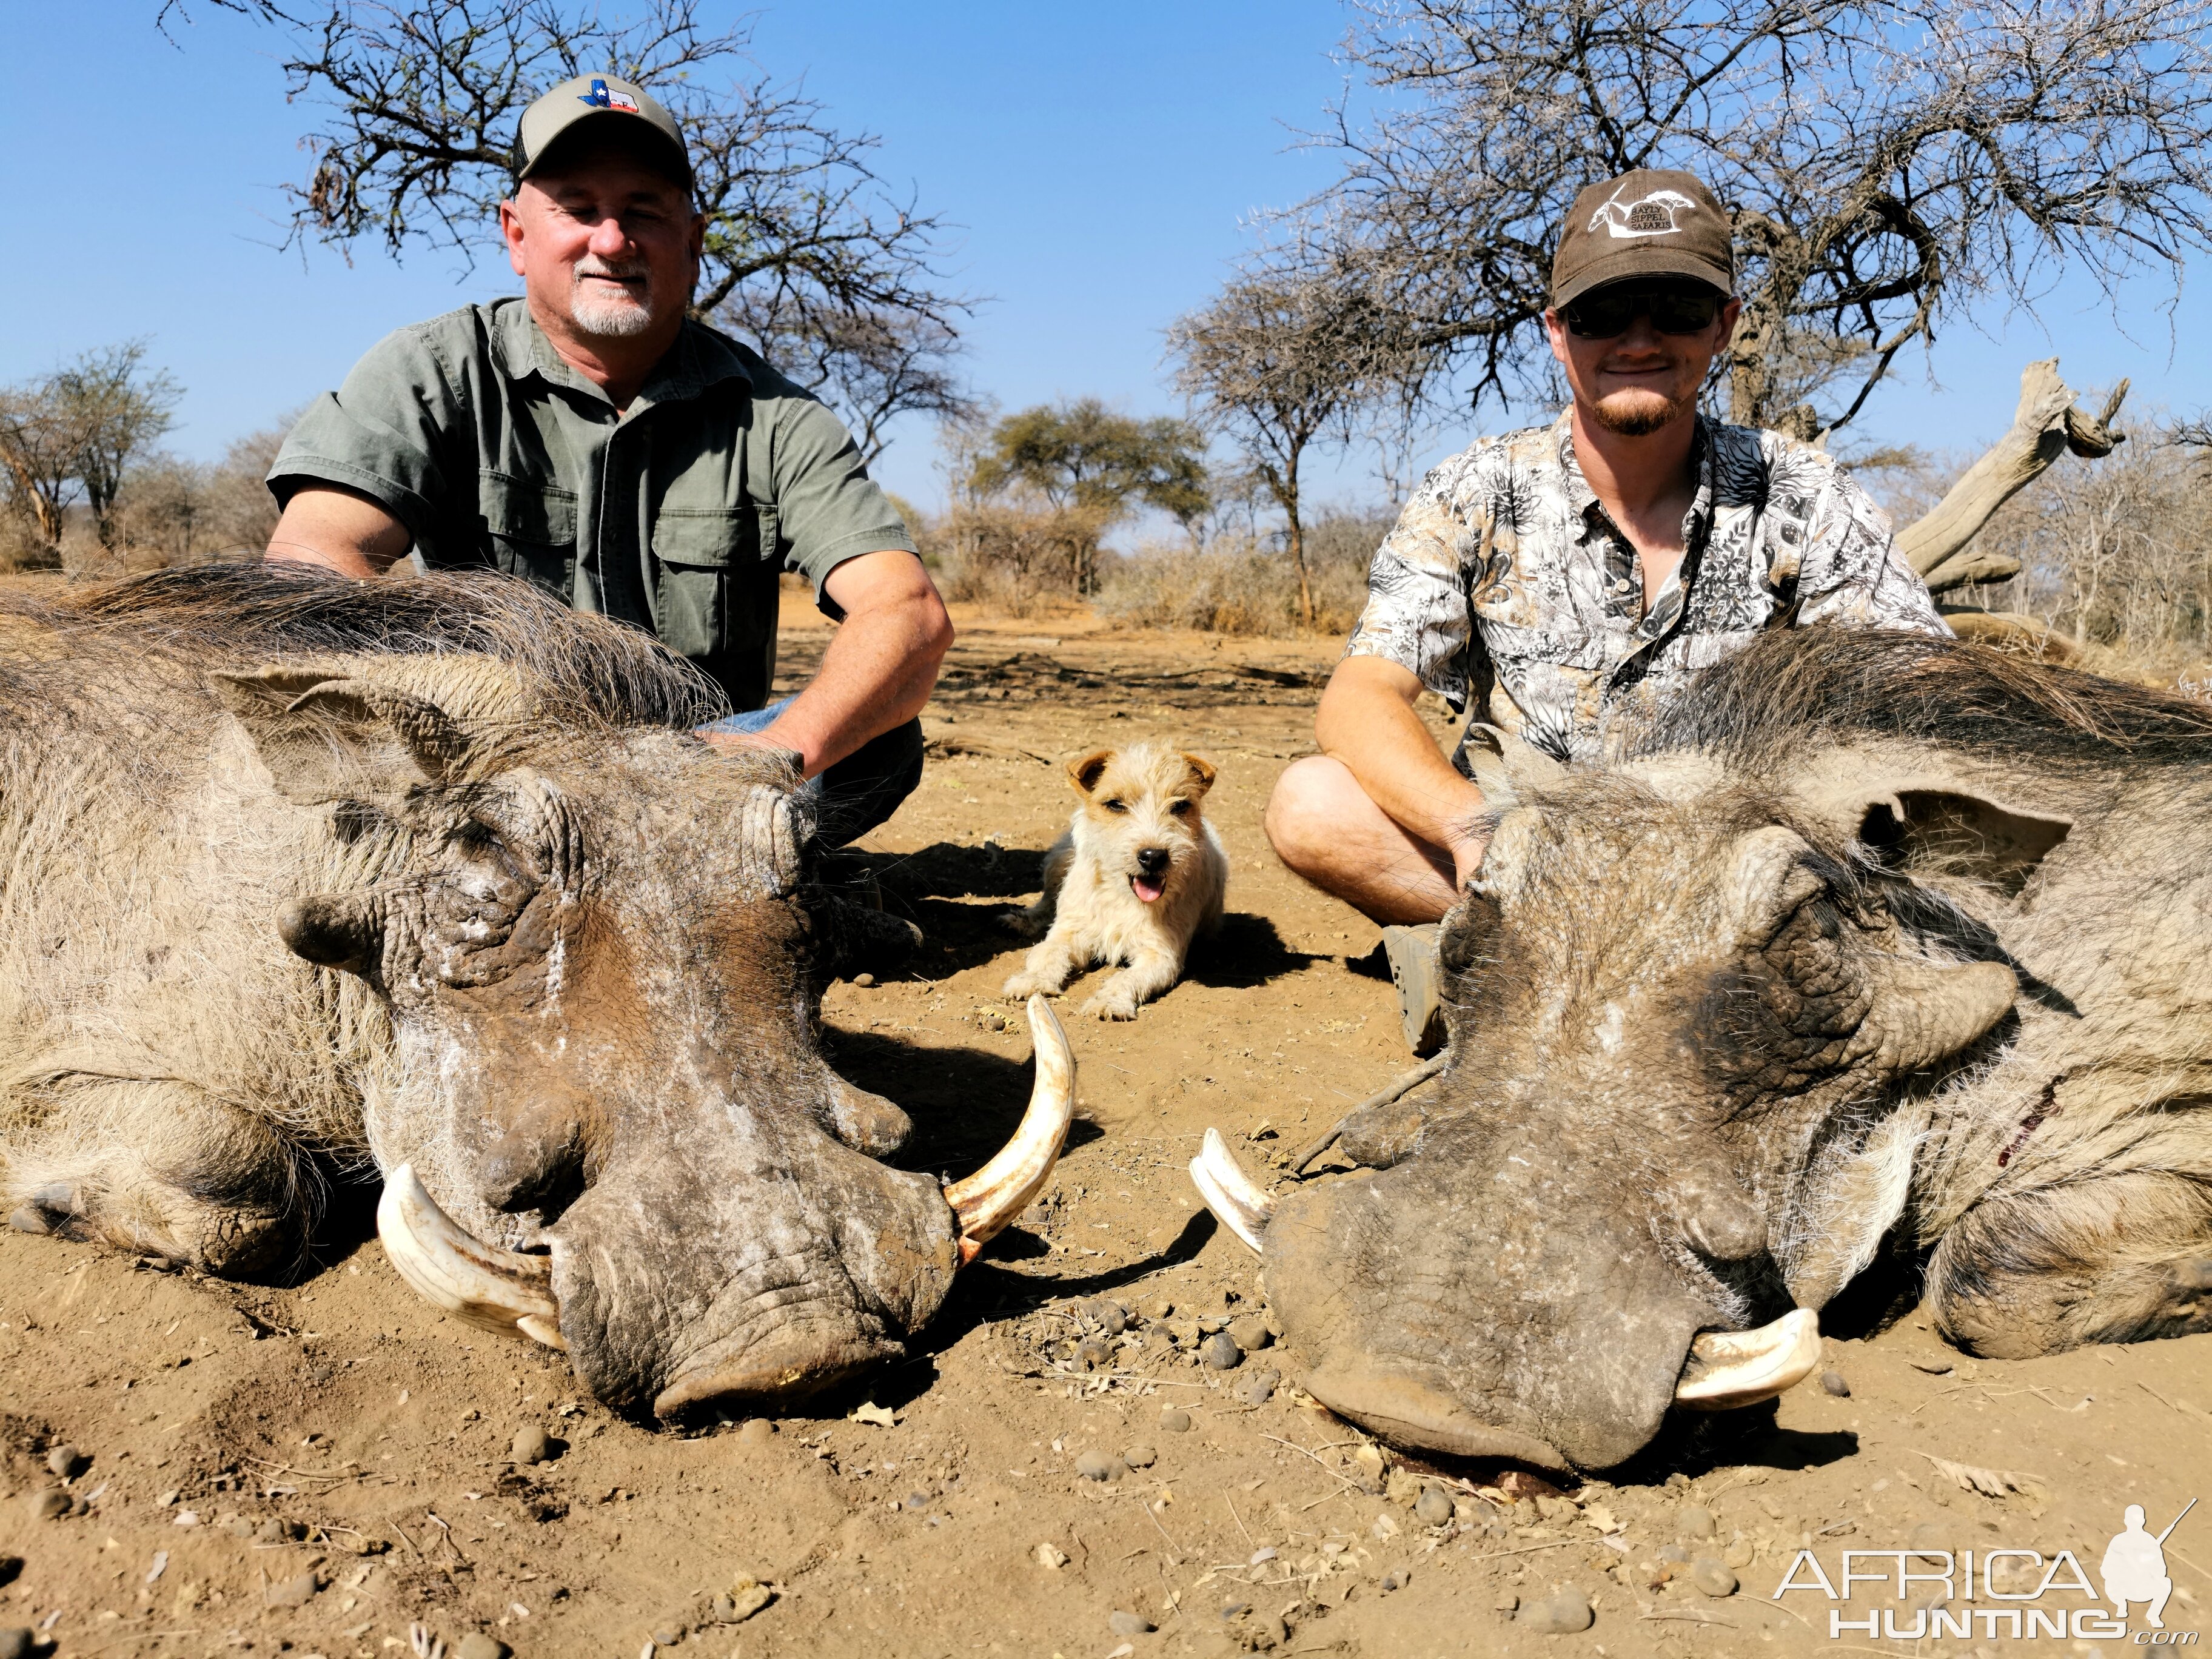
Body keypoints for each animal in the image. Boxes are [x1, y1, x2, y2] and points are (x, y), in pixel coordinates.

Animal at [1004, 743, 1230, 1026]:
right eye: (1115, 804)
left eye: (1180, 806)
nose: (1153, 857)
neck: (1121, 895)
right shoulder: (1070, 931)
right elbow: (1047, 953)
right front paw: (1031, 981)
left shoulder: (1161, 954)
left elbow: (1126, 977)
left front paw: (1109, 1002)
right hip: (1059, 860)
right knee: (1047, 901)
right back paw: (1023, 920)